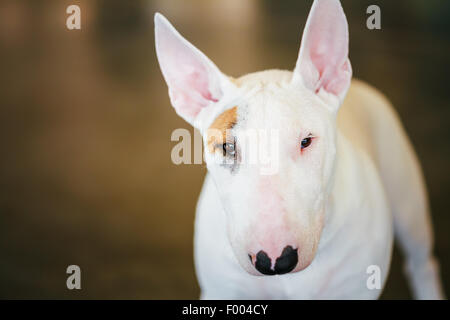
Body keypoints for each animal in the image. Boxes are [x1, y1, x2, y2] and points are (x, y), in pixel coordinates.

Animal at [154, 0, 442, 300]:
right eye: (227, 147)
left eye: (306, 141)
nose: (273, 260)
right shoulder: (222, 291)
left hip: (409, 207)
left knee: (422, 262)